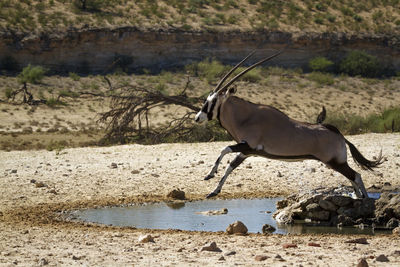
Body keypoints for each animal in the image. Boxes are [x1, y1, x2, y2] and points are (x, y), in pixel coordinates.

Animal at [195, 51, 382, 200]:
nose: (197, 118)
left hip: (334, 162)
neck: (246, 117)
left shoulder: (248, 147)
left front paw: (209, 174)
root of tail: (340, 135)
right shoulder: (246, 152)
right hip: (337, 163)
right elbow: (230, 167)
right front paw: (213, 190)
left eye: (212, 101)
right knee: (352, 177)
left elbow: (224, 149)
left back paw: (365, 199)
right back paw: (358, 197)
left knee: (356, 175)